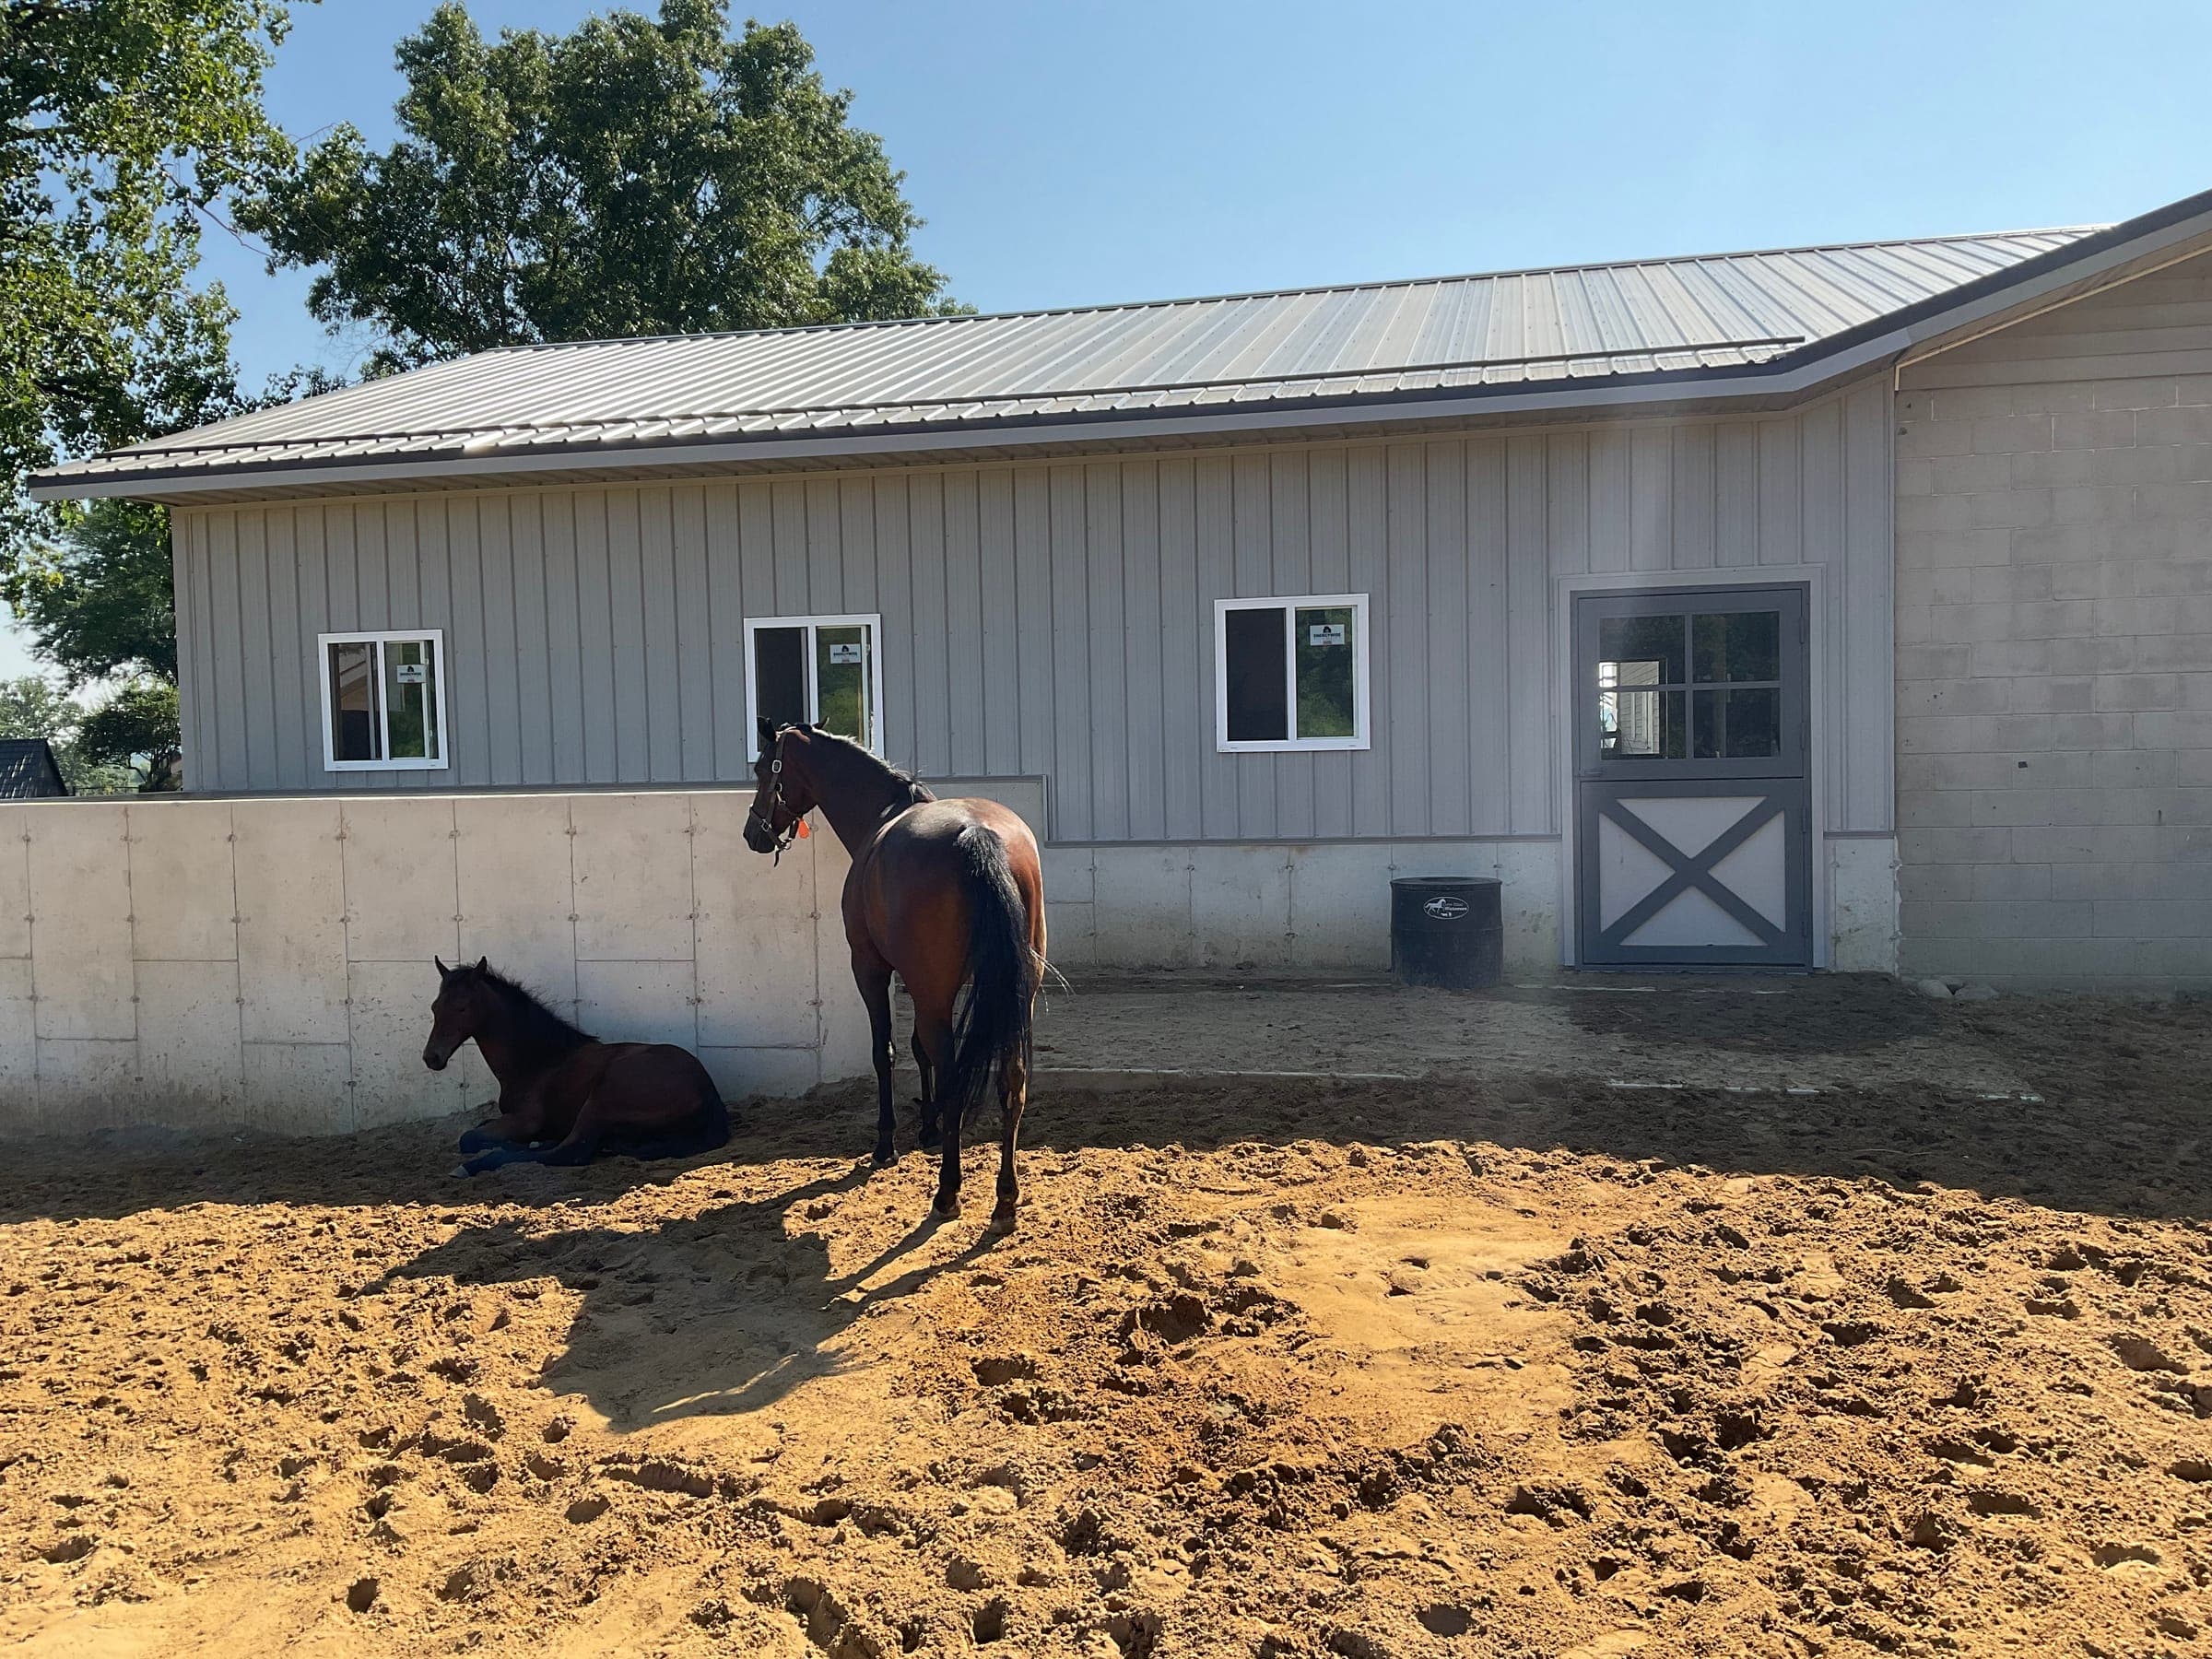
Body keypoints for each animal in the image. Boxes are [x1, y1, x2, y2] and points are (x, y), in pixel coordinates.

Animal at [423, 956, 730, 1175]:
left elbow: (468, 1138)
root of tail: (708, 1091)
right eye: (435, 1007)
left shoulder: (524, 1119)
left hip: (602, 1098)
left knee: (570, 1152)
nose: (432, 1058)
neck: (539, 1061)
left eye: (462, 1007)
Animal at [743, 718, 1048, 1232]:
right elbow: (917, 1050)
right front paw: (925, 1129)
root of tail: (977, 834)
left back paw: (948, 1193)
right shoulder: (920, 981)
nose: (753, 833)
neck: (881, 816)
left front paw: (886, 1144)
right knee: (1012, 1082)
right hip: (1015, 995)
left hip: (934, 992)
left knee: (954, 1078)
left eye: (765, 769)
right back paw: (1005, 1200)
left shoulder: (871, 968)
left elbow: (885, 1051)